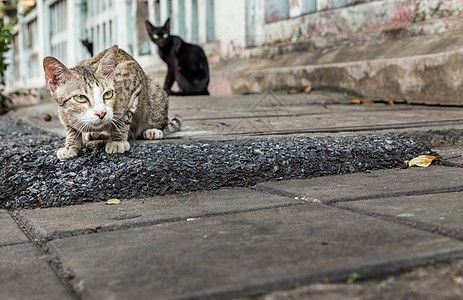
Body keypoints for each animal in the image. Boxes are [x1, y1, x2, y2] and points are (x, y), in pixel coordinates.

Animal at [42, 44, 182, 159]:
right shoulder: (63, 113)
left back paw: (153, 130)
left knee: (162, 121)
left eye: (108, 94)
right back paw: (96, 134)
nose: (101, 113)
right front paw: (71, 145)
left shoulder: (132, 73)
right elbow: (70, 127)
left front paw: (117, 140)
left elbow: (123, 117)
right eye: (80, 98)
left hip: (154, 91)